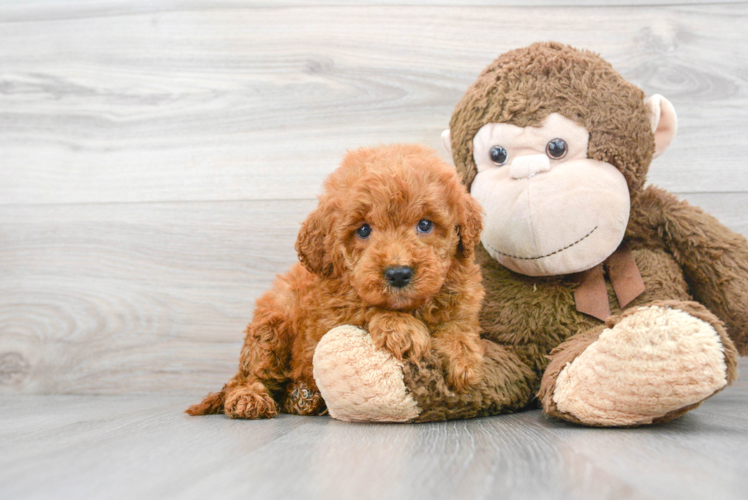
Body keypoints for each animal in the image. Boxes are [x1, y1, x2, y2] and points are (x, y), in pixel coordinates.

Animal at [184, 144, 482, 418]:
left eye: (425, 224)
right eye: (363, 230)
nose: (398, 273)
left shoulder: (463, 300)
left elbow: (458, 324)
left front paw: (462, 357)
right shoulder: (330, 310)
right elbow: (364, 306)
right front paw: (402, 329)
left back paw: (302, 397)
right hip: (271, 328)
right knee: (248, 376)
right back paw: (251, 398)